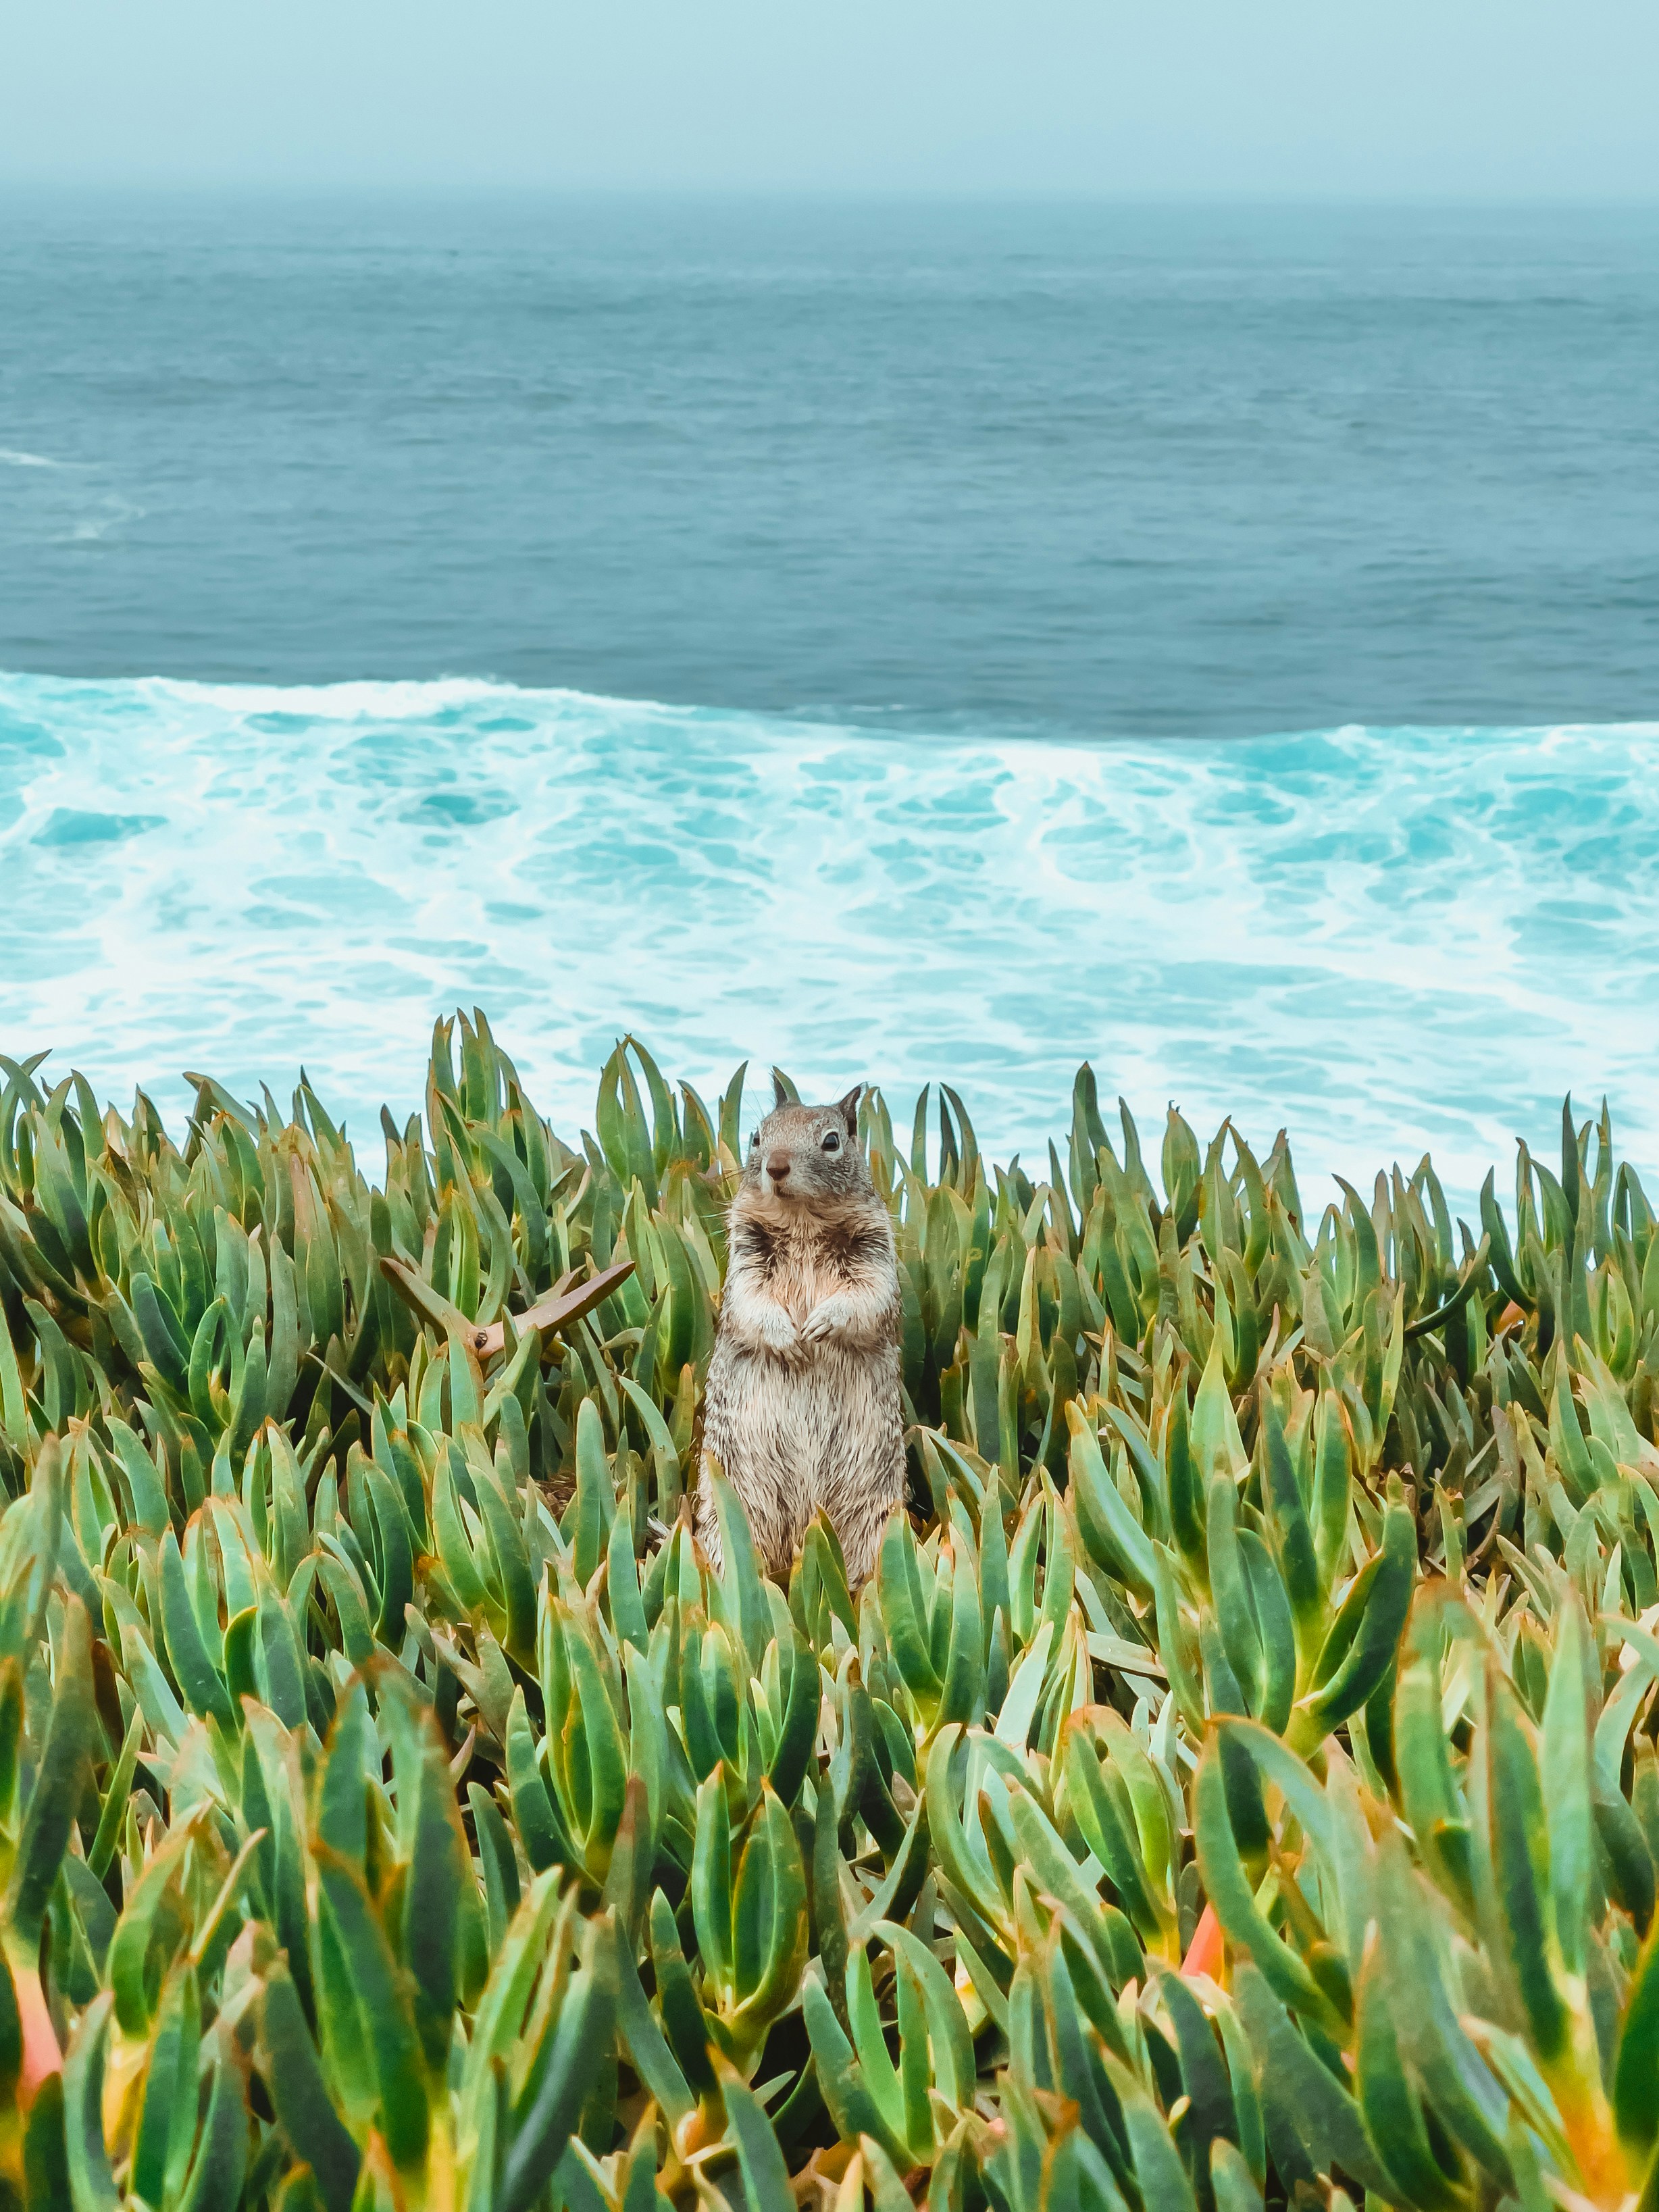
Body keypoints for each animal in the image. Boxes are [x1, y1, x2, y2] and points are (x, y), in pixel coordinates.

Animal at [696, 1079, 904, 1588]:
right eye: (756, 1135)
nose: (775, 1166)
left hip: (875, 1514)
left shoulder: (876, 1253)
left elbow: (868, 1297)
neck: (803, 1220)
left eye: (832, 1141)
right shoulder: (745, 1259)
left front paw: (823, 1324)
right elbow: (751, 1304)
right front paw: (789, 1340)